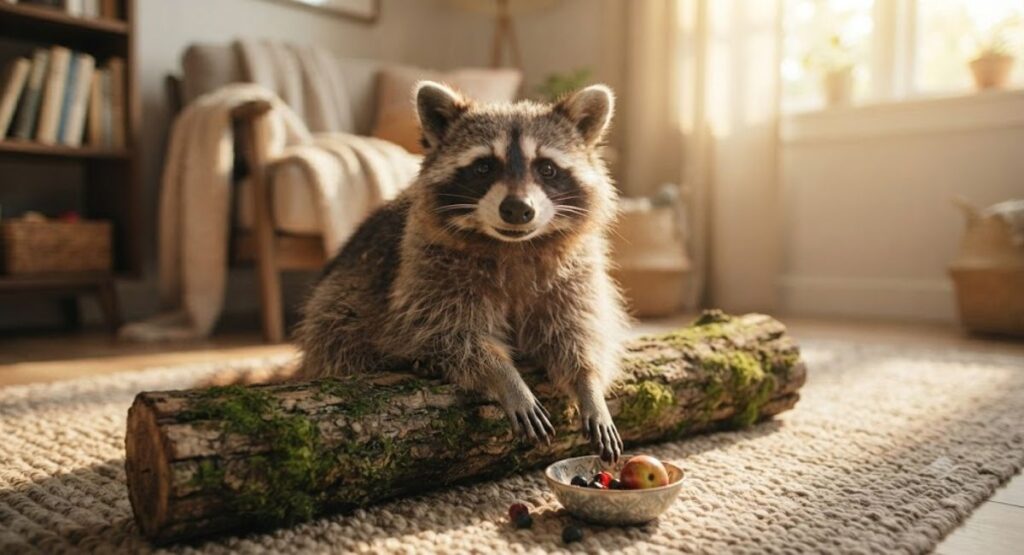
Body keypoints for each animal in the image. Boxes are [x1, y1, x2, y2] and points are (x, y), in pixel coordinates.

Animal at [295, 81, 629, 461]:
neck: (512, 245)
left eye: (547, 168)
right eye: (483, 167)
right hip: (344, 286)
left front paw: (588, 385)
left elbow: (575, 331)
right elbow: (449, 330)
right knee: (338, 327)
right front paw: (504, 376)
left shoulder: (574, 273)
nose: (518, 209)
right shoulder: (427, 267)